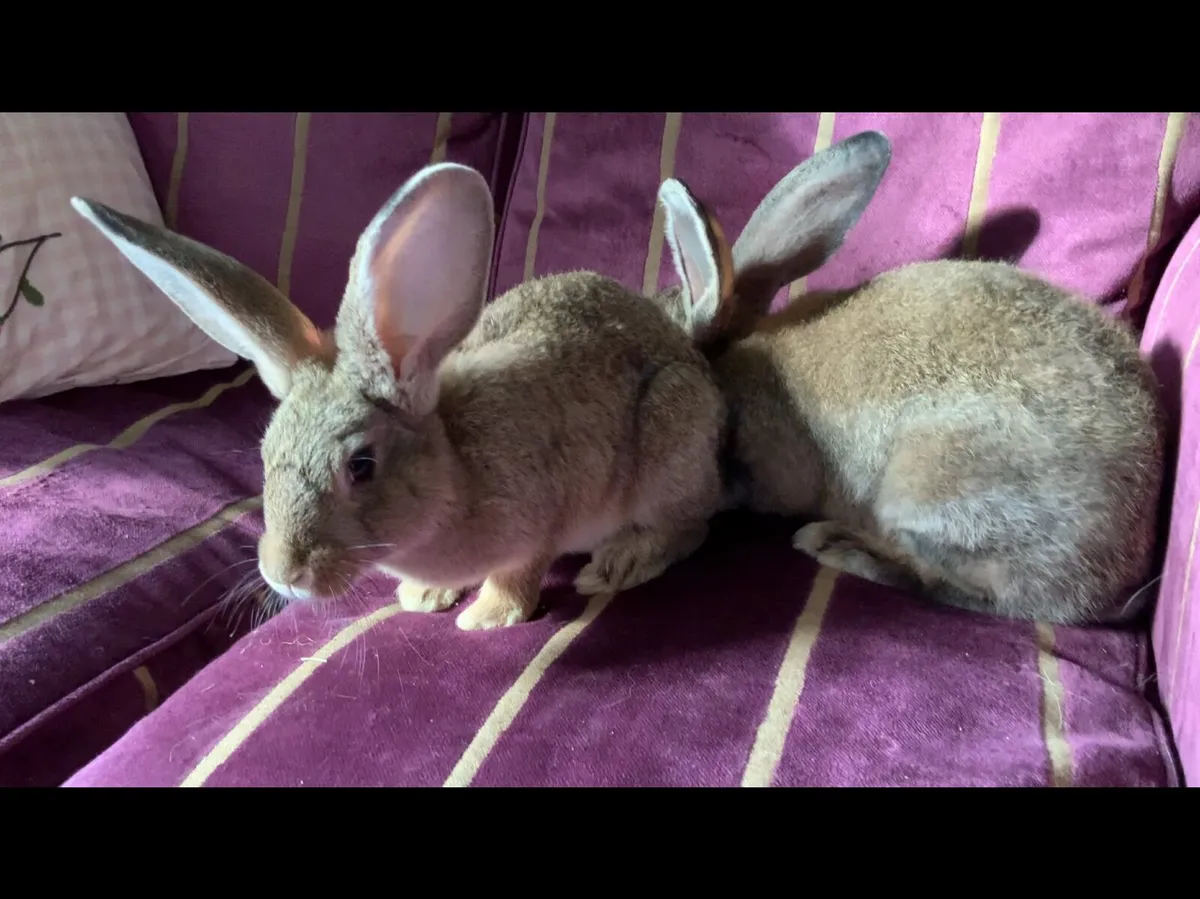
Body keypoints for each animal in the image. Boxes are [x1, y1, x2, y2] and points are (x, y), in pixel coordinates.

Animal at [70, 162, 730, 631]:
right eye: (264, 457)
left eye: (361, 466)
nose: (283, 575)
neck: (455, 471)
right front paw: (423, 596)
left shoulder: (540, 519)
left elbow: (518, 574)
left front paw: (486, 617)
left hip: (670, 448)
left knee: (691, 526)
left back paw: (620, 563)